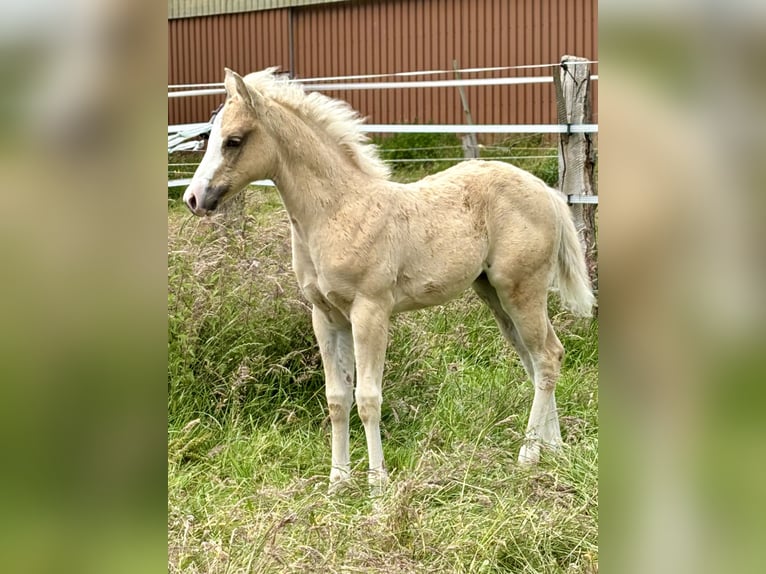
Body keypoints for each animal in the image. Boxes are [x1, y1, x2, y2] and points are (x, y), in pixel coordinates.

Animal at [183, 68, 596, 496]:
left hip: (521, 288)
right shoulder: (325, 316)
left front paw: (377, 485)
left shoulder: (370, 311)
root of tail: (545, 191)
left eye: (233, 140)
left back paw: (528, 455)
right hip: (494, 294)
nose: (193, 199)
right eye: (209, 137)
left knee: (545, 357)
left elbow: (367, 398)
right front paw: (337, 482)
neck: (337, 211)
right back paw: (554, 449)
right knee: (541, 358)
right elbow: (336, 398)